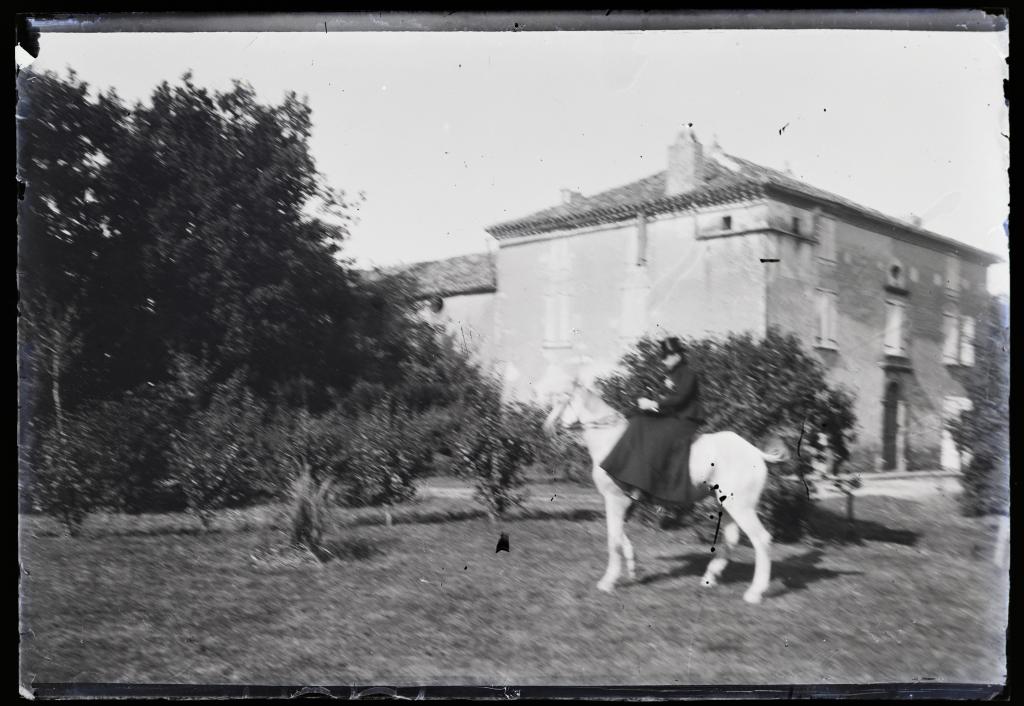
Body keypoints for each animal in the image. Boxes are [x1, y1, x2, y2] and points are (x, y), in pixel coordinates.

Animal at [544, 370, 782, 602]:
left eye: (560, 400)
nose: (547, 428)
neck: (611, 440)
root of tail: (755, 452)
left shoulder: (615, 499)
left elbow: (613, 540)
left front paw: (608, 582)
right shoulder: (623, 502)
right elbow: (620, 535)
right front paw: (632, 567)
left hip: (740, 507)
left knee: (761, 540)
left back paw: (755, 592)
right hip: (729, 506)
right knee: (732, 539)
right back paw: (710, 577)